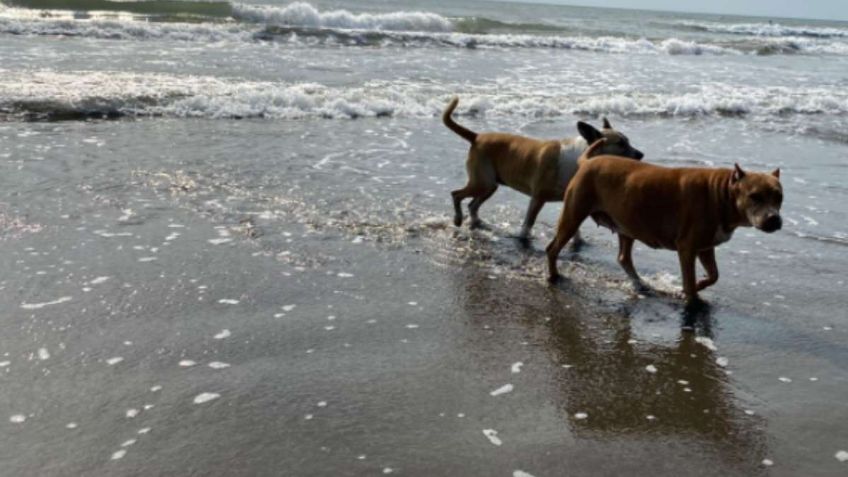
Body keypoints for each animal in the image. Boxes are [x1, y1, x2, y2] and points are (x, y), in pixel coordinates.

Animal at [548, 139, 784, 304]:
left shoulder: (705, 247)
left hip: (627, 223)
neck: (723, 193)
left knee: (624, 257)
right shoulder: (687, 248)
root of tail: (587, 161)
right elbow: (689, 280)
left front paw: (700, 285)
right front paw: (692, 299)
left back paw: (640, 284)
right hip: (573, 215)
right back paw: (553, 276)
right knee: (553, 248)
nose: (774, 219)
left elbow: (714, 275)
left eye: (779, 197)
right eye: (755, 196)